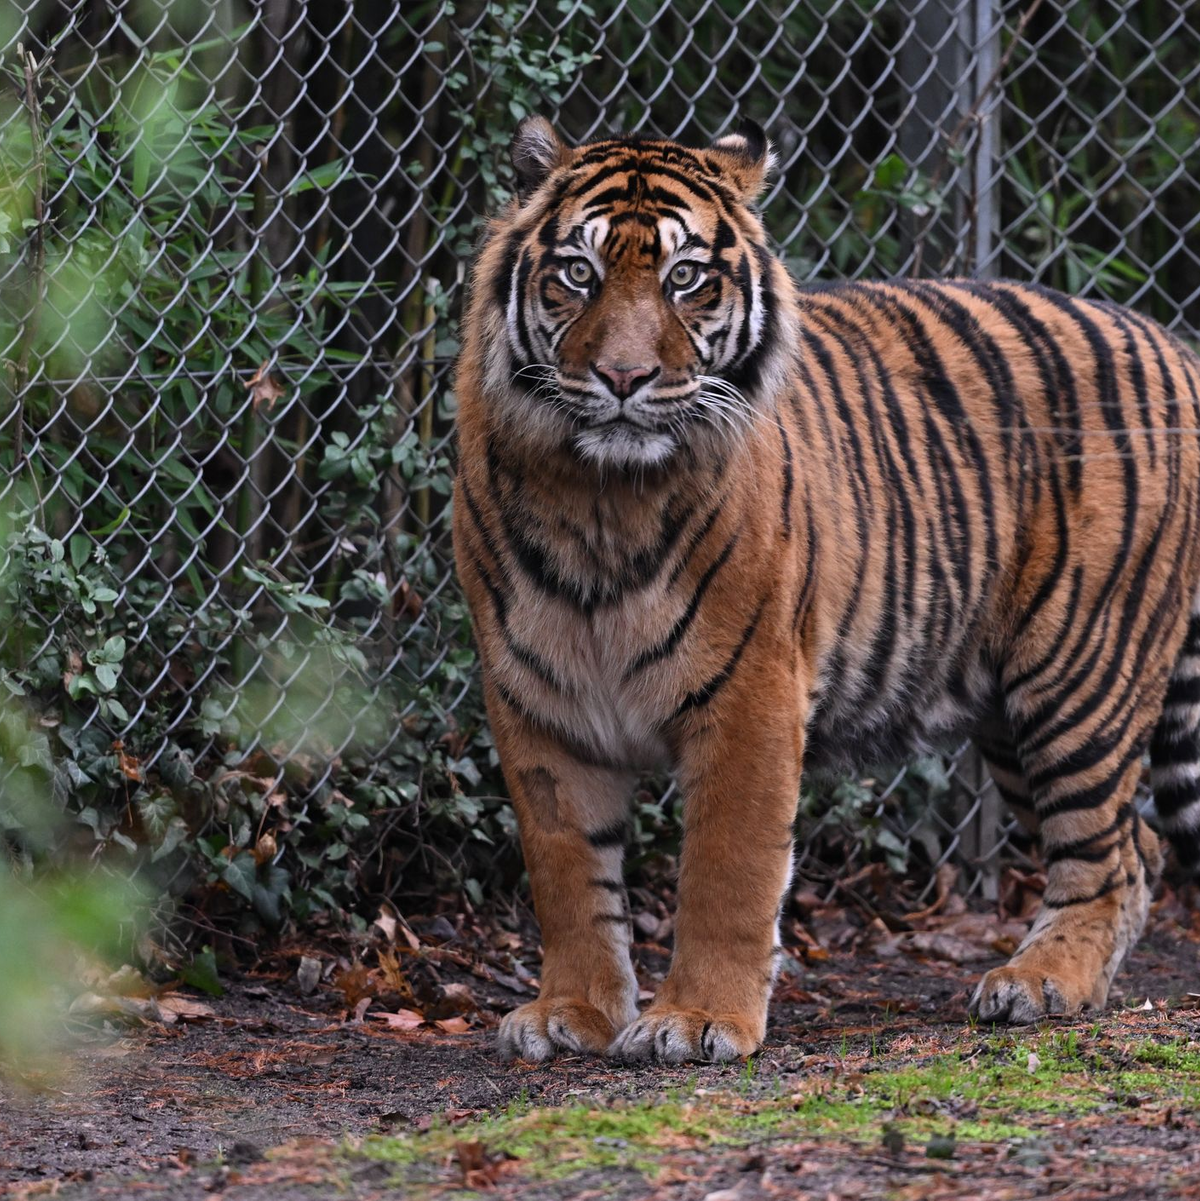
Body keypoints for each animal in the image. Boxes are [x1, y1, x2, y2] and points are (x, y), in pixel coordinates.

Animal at [451, 114, 1200, 1064]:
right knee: (1138, 849)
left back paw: (1040, 982)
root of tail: (1173, 341)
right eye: (577, 273)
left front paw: (695, 1020)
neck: (600, 499)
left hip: (1081, 673)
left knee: (1108, 853)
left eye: (684, 277)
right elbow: (567, 874)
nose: (622, 378)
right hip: (1009, 706)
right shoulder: (534, 698)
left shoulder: (751, 691)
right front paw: (570, 1012)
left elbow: (727, 869)